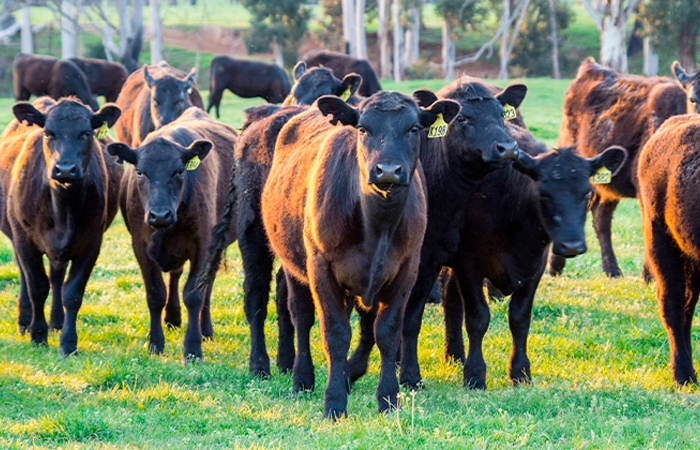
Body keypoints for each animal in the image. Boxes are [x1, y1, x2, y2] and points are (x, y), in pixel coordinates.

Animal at [0, 97, 121, 356]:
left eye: (86, 133)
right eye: (48, 133)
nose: (65, 169)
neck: (63, 208)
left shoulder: (91, 244)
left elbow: (72, 293)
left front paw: (68, 343)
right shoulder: (24, 240)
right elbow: (37, 286)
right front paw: (37, 336)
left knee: (56, 278)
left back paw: (56, 322)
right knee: (26, 277)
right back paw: (25, 321)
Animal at [108, 108, 237, 362]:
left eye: (179, 171)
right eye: (140, 172)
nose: (160, 215)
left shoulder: (203, 245)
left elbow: (194, 294)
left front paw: (193, 348)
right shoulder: (140, 247)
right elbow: (156, 294)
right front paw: (155, 344)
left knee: (207, 286)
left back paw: (205, 330)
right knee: (175, 276)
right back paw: (173, 318)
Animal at [258, 91, 460, 418]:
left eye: (414, 128)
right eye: (363, 128)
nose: (388, 170)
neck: (376, 226)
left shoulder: (407, 269)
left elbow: (387, 332)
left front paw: (388, 398)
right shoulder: (321, 267)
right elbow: (335, 333)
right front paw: (335, 401)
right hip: (295, 266)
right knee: (301, 316)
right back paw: (302, 378)